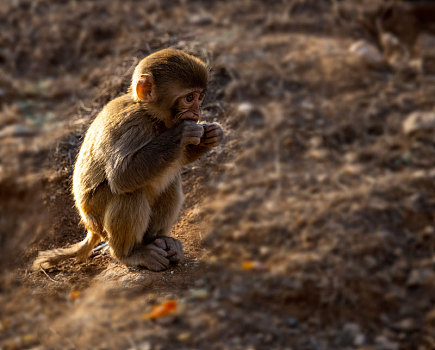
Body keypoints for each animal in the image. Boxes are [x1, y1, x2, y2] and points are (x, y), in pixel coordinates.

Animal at [33, 47, 225, 272]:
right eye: (189, 98)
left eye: (200, 97)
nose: (197, 112)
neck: (151, 115)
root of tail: (90, 227)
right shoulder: (134, 127)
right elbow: (120, 176)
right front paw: (182, 133)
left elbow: (180, 159)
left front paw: (212, 134)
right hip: (98, 216)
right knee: (130, 194)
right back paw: (129, 254)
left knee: (170, 180)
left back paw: (158, 240)